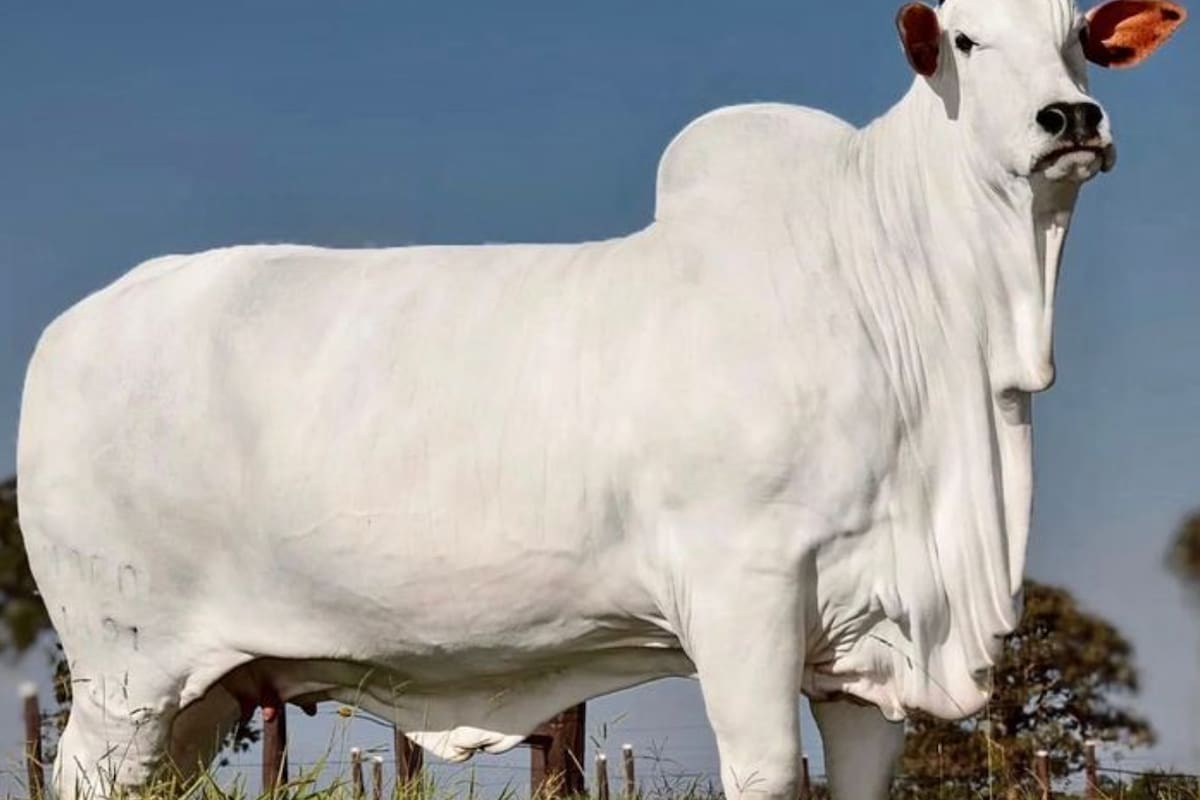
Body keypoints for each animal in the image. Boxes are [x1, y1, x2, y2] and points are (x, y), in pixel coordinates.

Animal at [16, 0, 1185, 797]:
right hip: (122, 673)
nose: (1070, 118)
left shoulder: (869, 649)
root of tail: (76, 325)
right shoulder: (744, 588)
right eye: (965, 40)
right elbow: (766, 770)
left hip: (203, 690)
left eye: (1081, 36)